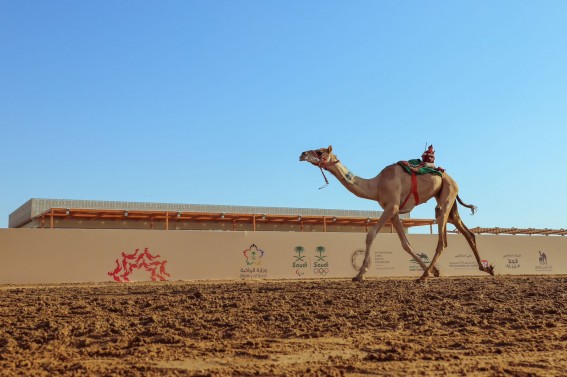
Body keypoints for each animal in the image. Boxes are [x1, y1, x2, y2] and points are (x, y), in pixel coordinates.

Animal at [300, 145, 494, 280]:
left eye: (319, 151)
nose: (302, 154)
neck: (377, 185)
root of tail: (451, 178)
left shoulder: (391, 206)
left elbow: (370, 235)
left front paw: (360, 274)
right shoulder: (393, 212)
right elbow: (405, 244)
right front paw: (434, 271)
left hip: (447, 193)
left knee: (443, 237)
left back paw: (423, 277)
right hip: (448, 196)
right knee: (466, 231)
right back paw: (486, 268)